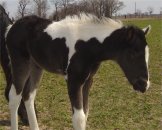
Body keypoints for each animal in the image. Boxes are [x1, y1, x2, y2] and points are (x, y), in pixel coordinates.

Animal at [3, 13, 151, 129]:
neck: (87, 46)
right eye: (133, 52)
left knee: (28, 96)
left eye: (147, 52)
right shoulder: (73, 81)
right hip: (20, 63)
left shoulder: (87, 81)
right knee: (14, 97)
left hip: (36, 67)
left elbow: (85, 113)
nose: (144, 85)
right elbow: (78, 118)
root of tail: (11, 28)